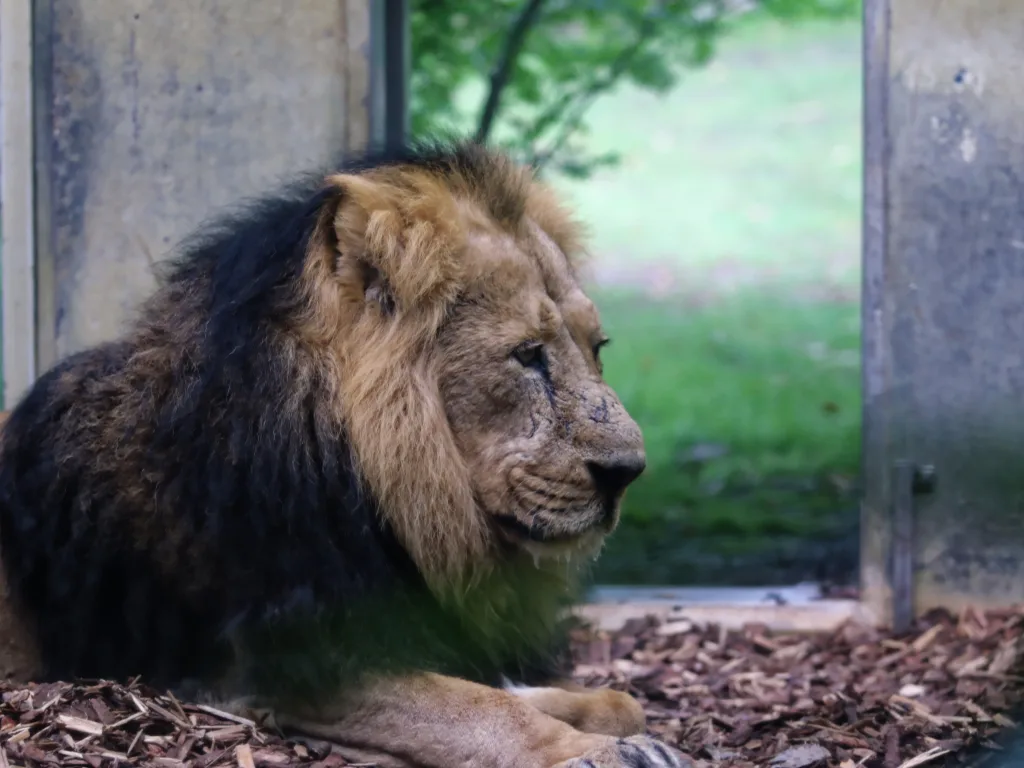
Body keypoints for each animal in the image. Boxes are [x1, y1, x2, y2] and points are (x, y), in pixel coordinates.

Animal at [0, 141, 686, 768]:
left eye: (597, 347)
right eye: (527, 355)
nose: (627, 473)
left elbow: (593, 698)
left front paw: (611, 719)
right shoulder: (293, 664)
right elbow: (486, 710)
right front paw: (600, 753)